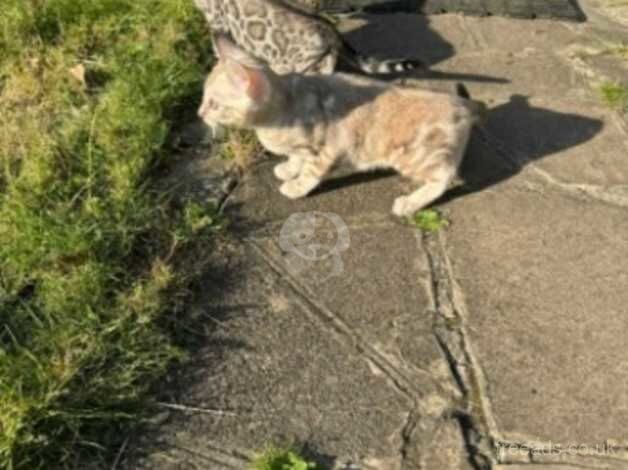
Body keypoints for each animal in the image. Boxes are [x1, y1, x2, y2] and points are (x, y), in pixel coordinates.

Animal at [199, 36, 484, 217]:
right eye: (203, 98)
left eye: (213, 104)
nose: (199, 113)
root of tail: (460, 102)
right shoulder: (303, 148)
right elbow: (296, 157)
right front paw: (288, 168)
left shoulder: (328, 149)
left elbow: (311, 172)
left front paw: (296, 186)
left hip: (415, 156)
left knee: (443, 178)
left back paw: (409, 204)